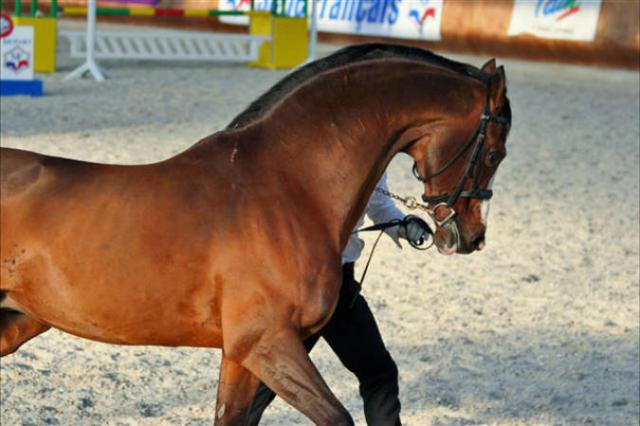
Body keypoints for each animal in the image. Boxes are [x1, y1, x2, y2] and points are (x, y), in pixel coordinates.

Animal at [0, 44, 511, 424]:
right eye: (494, 152)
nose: (470, 236)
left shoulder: (240, 354)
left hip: (18, 319)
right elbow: (337, 417)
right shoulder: (264, 343)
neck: (289, 186)